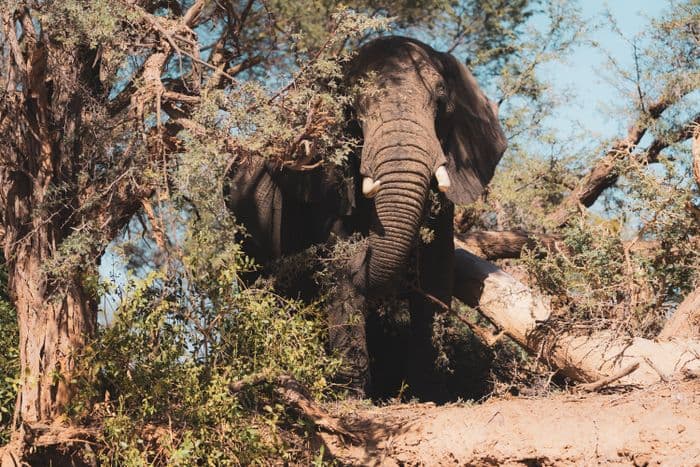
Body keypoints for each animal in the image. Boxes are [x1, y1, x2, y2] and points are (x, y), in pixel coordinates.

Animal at [227, 37, 506, 402]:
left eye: (441, 96)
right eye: (352, 110)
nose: (364, 247)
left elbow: (437, 268)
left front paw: (429, 397)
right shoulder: (325, 183)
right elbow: (338, 268)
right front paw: (353, 398)